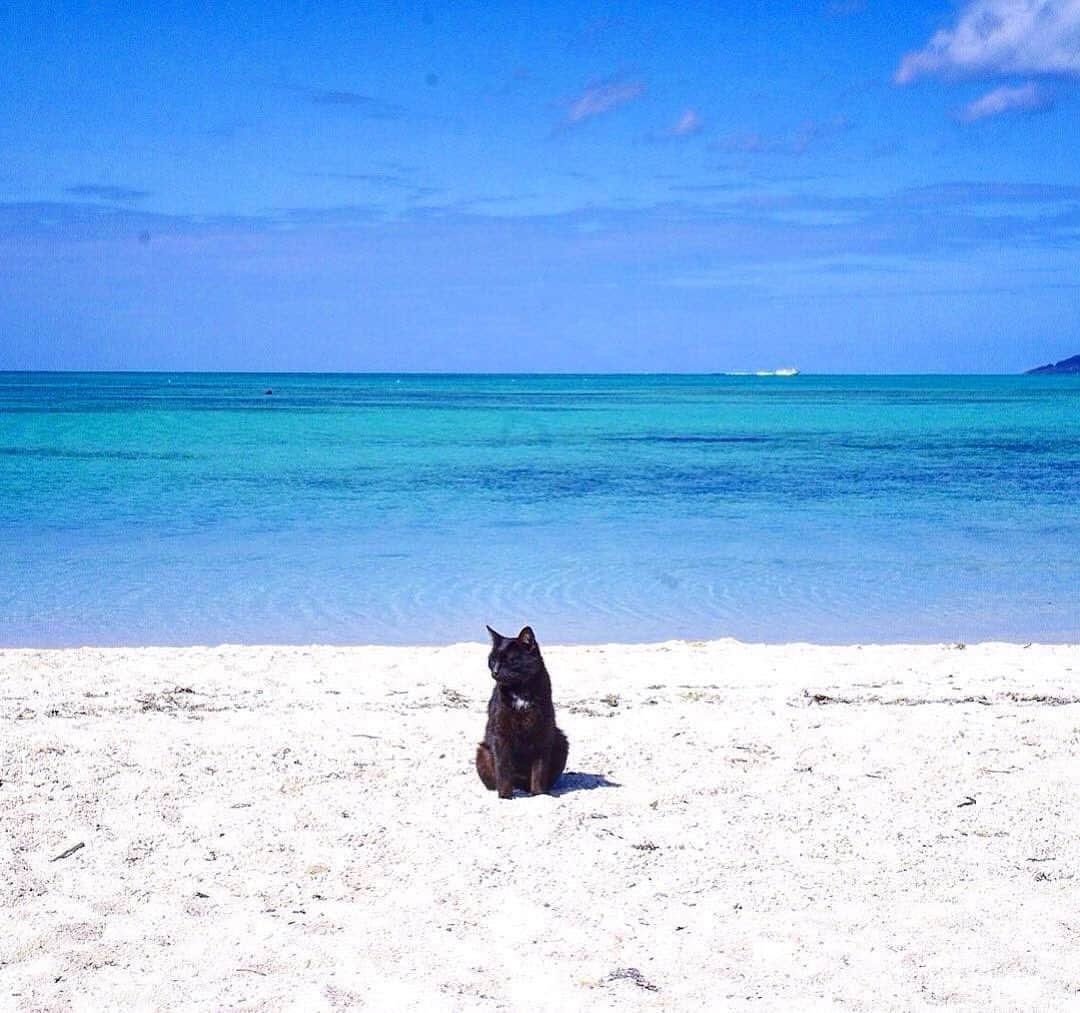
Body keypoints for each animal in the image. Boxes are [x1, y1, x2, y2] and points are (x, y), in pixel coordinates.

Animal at [475, 622, 570, 799]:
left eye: (509, 660)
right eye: (492, 659)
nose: (495, 671)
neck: (520, 689)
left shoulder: (542, 732)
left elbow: (539, 768)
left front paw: (539, 793)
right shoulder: (501, 732)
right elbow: (503, 766)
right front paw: (505, 795)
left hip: (561, 741)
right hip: (482, 751)